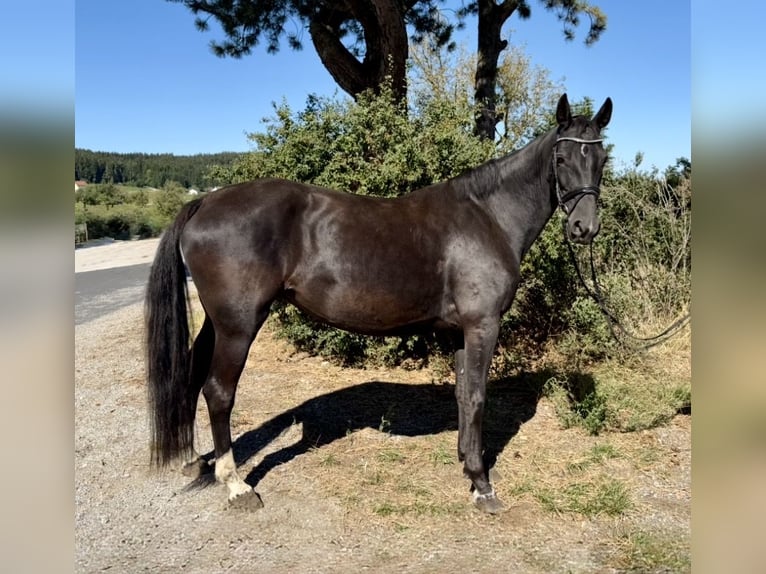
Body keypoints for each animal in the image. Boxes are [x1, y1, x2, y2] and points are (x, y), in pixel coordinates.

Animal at [145, 93, 612, 514]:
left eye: (601, 159)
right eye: (562, 159)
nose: (584, 228)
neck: (487, 217)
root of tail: (205, 201)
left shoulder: (460, 332)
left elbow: (464, 395)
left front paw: (467, 463)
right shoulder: (483, 324)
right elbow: (479, 397)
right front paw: (483, 487)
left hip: (218, 322)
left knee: (192, 375)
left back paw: (195, 461)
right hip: (239, 325)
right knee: (219, 391)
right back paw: (236, 485)